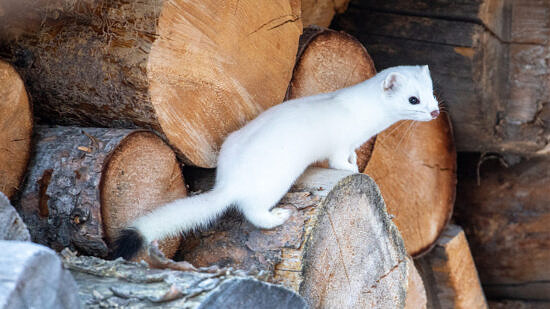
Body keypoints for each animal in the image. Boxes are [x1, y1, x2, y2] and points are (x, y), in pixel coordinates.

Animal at [112, 65, 440, 260]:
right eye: (413, 99)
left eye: (433, 93)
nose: (436, 112)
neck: (365, 118)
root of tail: (229, 182)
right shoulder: (340, 141)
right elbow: (337, 160)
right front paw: (350, 168)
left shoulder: (351, 142)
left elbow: (351, 154)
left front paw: (356, 161)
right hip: (273, 183)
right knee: (252, 212)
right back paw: (278, 216)